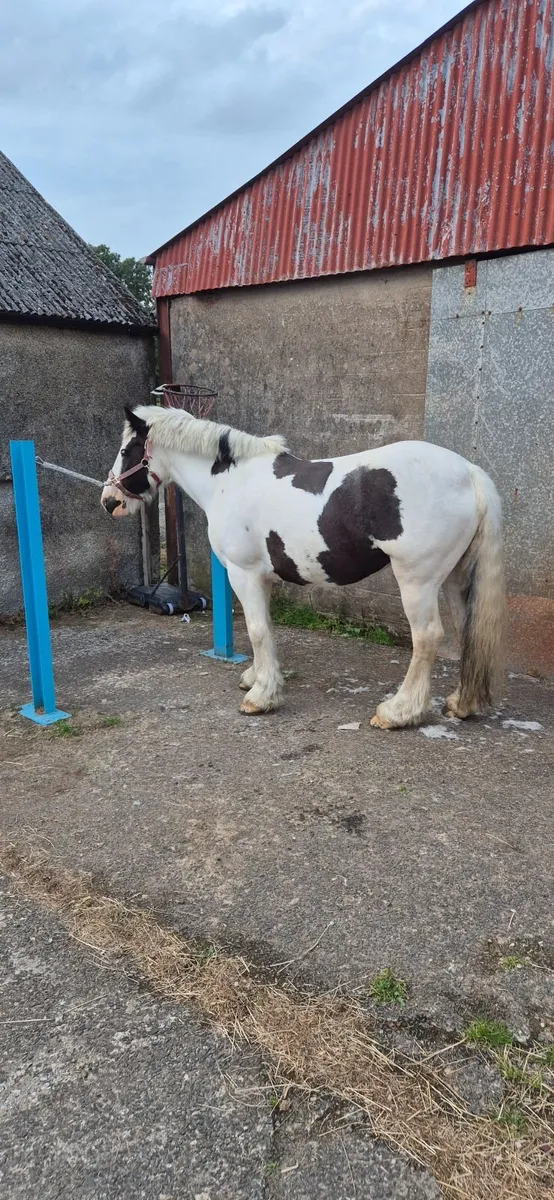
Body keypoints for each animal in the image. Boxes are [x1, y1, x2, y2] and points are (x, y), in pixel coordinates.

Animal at [101, 404, 505, 730]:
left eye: (125, 451)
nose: (109, 501)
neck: (230, 481)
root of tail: (468, 472)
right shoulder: (261, 578)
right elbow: (265, 629)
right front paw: (257, 678)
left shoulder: (243, 574)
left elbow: (256, 630)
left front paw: (261, 697)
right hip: (452, 578)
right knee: (466, 632)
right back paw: (461, 703)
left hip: (417, 581)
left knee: (427, 638)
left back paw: (398, 712)